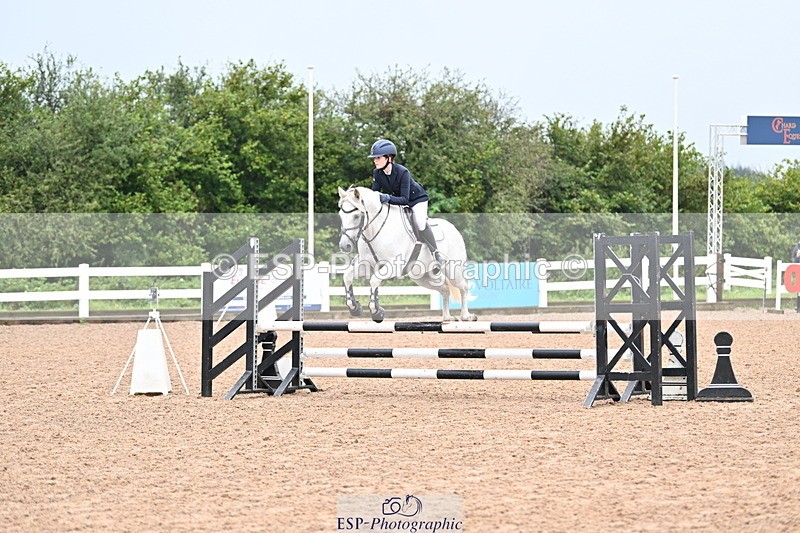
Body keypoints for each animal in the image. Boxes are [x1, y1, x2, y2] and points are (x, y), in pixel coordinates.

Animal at [337, 186, 477, 323]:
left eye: (356, 216)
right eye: (340, 215)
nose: (344, 246)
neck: (376, 230)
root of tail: (454, 229)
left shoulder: (394, 266)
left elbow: (374, 280)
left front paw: (376, 311)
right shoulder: (366, 265)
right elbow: (347, 276)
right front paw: (355, 307)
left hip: (453, 270)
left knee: (464, 288)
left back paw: (466, 316)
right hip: (422, 277)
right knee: (445, 289)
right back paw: (447, 317)